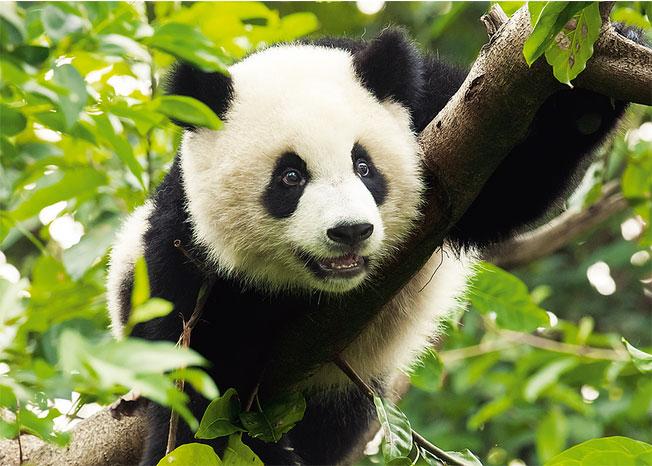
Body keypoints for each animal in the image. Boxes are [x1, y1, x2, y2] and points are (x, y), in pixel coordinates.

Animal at [107, 28, 635, 465]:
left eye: (364, 166)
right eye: (290, 176)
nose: (350, 231)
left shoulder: (437, 111)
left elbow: (509, 184)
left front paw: (600, 69)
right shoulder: (184, 254)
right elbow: (201, 386)